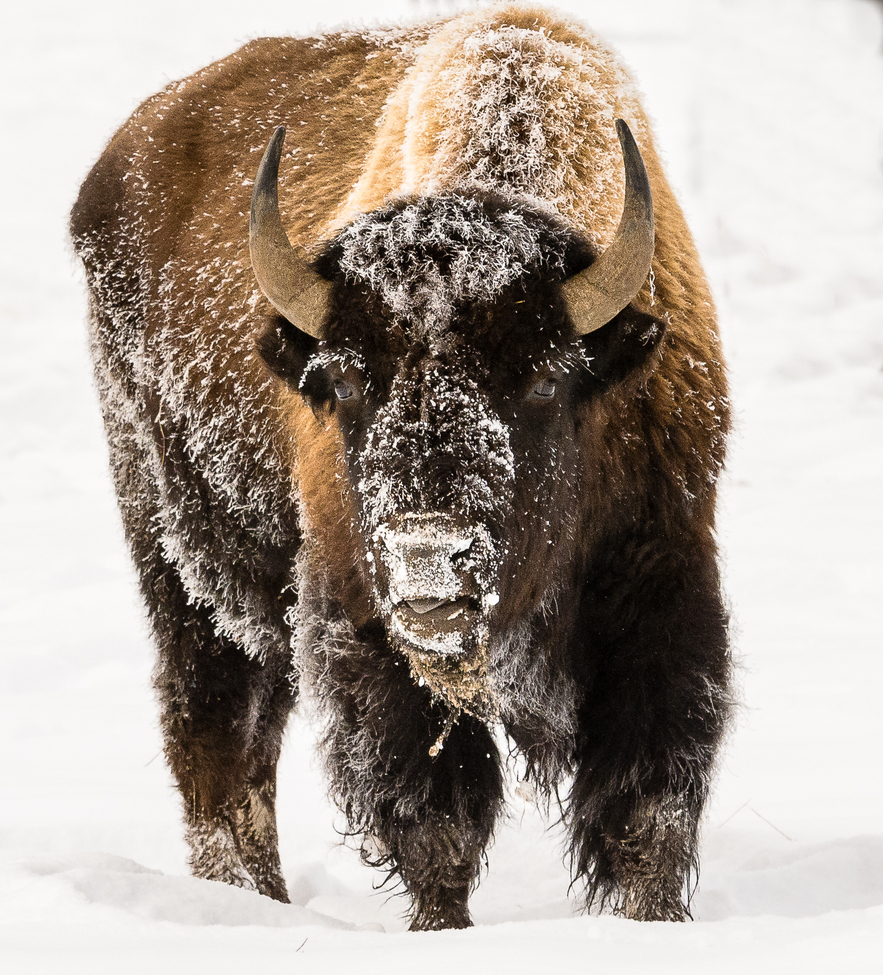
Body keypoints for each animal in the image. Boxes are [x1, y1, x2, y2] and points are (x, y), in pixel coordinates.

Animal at [71, 3, 732, 929]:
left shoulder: (663, 582)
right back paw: (245, 901)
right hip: (176, 551)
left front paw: (650, 923)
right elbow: (434, 819)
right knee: (216, 730)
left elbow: (648, 807)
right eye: (347, 379)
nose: (427, 557)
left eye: (545, 376)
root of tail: (122, 157)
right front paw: (440, 930)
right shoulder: (360, 620)